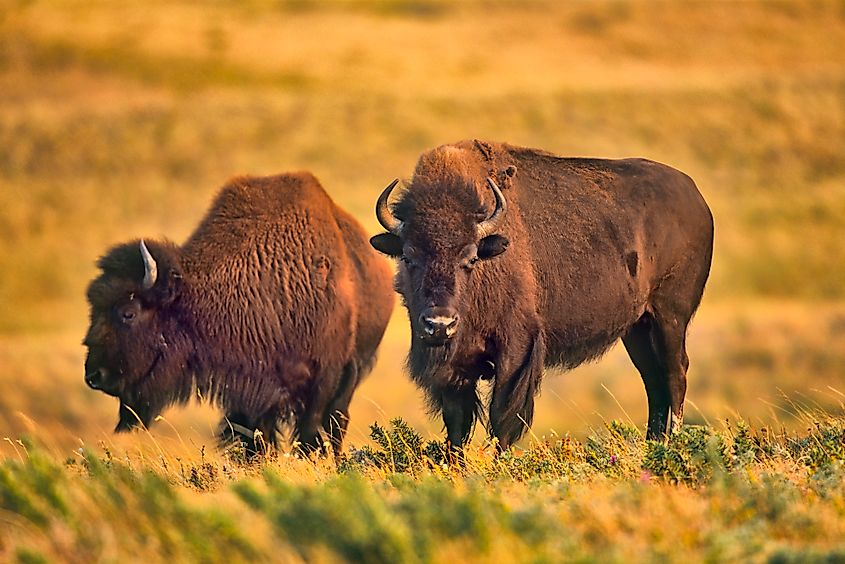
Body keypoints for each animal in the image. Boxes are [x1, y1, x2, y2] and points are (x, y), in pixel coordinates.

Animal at [370, 140, 713, 451]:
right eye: (408, 257)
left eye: (470, 259)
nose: (439, 324)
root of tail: (696, 198)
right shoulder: (455, 370)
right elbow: (457, 424)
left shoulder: (516, 350)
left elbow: (502, 415)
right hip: (638, 329)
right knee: (653, 381)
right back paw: (653, 444)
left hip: (670, 318)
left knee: (675, 374)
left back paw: (673, 442)